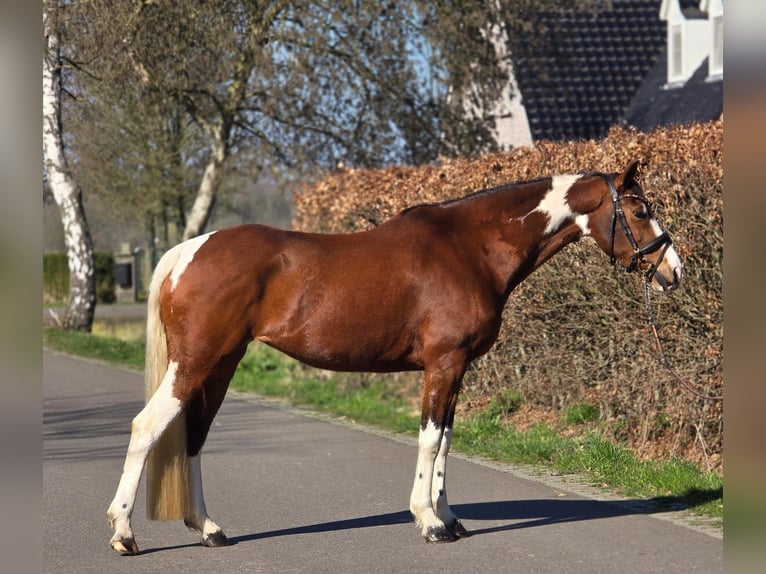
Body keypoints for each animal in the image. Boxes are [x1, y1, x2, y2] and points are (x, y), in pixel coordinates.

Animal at [107, 160, 682, 555]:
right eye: (639, 210)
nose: (673, 271)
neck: (470, 248)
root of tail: (189, 250)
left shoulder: (457, 369)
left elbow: (446, 440)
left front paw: (449, 518)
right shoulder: (443, 363)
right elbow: (429, 440)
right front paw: (428, 523)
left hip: (220, 365)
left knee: (194, 436)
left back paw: (209, 529)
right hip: (196, 363)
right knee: (147, 427)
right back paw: (124, 534)